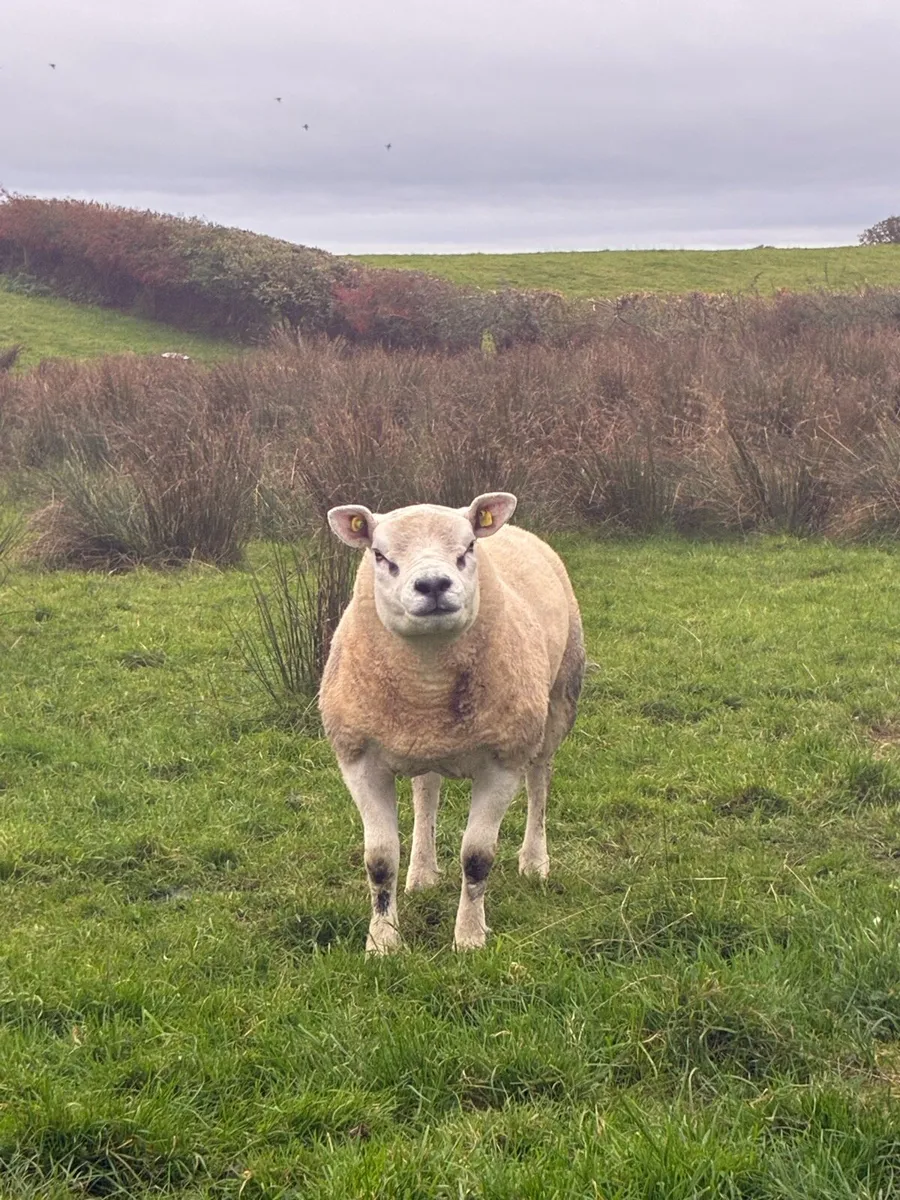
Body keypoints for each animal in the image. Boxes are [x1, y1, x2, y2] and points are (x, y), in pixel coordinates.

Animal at [319, 492, 584, 953]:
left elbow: (477, 858)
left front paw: (469, 938)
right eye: (380, 555)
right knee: (427, 790)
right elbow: (380, 861)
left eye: (468, 548)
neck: (427, 683)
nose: (432, 585)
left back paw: (534, 862)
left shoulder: (502, 760)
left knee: (539, 782)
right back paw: (422, 873)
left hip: (557, 701)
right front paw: (383, 943)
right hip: (424, 744)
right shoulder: (358, 759)